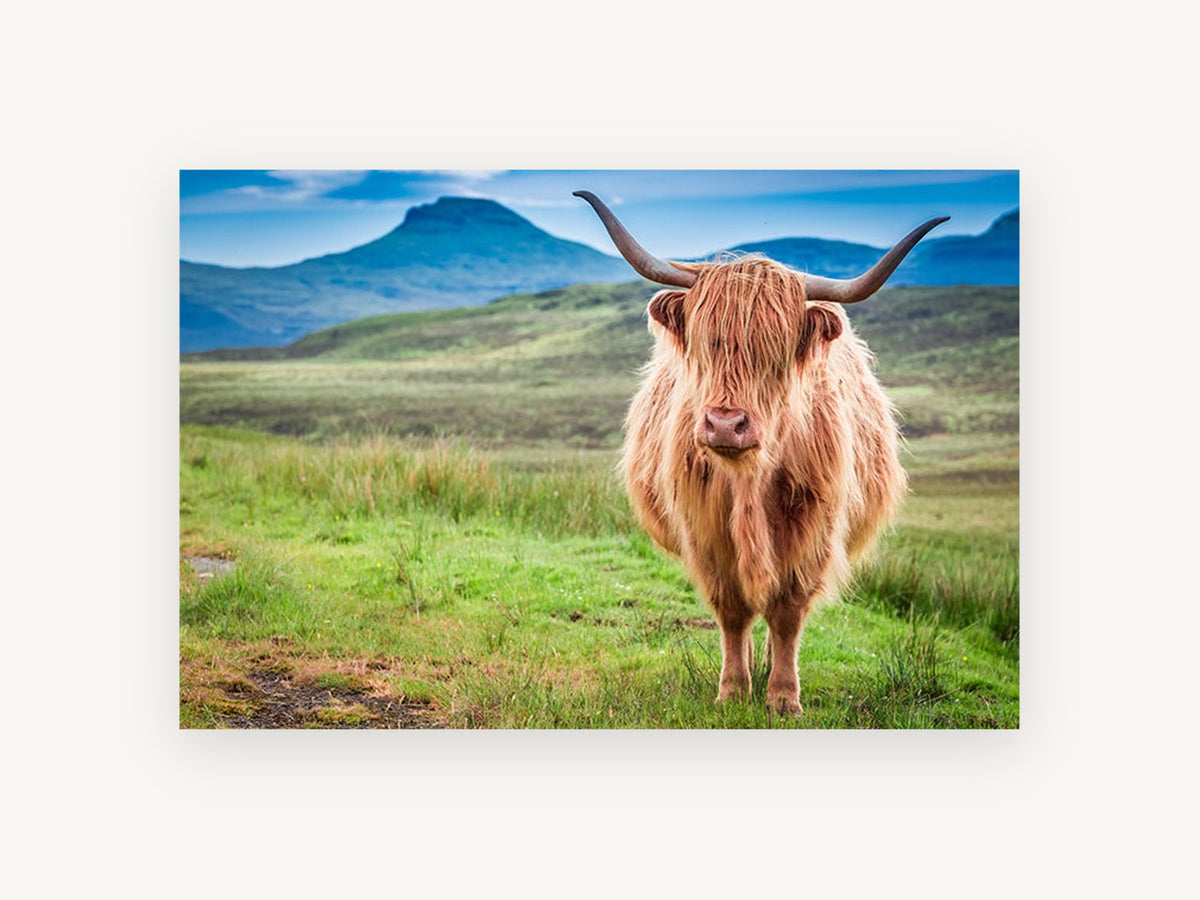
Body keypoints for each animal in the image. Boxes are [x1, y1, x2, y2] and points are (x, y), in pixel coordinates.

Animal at [574, 190, 947, 715]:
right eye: (705, 344)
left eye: (776, 351)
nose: (725, 425)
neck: (749, 478)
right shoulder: (705, 532)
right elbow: (732, 611)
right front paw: (733, 689)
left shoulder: (812, 532)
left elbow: (788, 613)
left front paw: (784, 697)